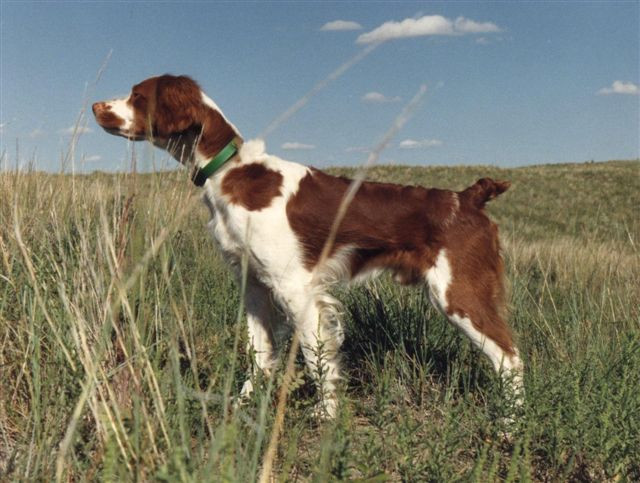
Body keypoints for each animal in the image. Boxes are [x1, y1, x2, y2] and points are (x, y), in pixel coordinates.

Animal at [95, 73, 524, 418]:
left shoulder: (296, 287)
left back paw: (510, 425)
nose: (96, 105)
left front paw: (326, 414)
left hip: (459, 293)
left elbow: (317, 355)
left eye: (137, 95)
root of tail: (468, 197)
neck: (230, 169)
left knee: (510, 358)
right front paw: (244, 403)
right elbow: (259, 352)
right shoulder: (254, 286)